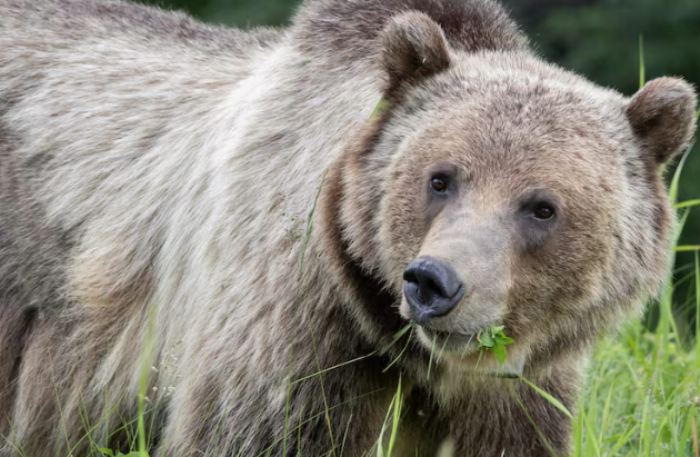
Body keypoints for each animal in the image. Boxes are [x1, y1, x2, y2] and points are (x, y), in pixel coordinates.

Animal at [0, 0, 697, 455]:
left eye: (542, 206)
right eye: (441, 178)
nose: (435, 283)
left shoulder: (515, 387)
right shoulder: (296, 325)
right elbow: (257, 432)